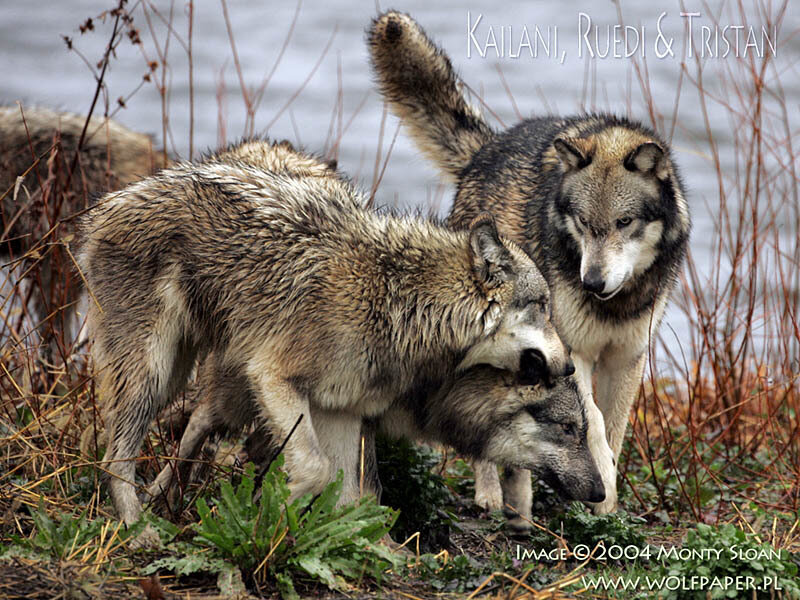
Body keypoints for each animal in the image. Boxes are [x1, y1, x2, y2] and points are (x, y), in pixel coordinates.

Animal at [79, 139, 574, 539]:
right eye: (543, 306)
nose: (569, 366)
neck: (396, 297)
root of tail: (108, 205)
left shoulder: (341, 408)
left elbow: (353, 490)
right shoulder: (272, 376)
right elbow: (316, 470)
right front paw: (273, 505)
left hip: (177, 372)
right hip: (153, 373)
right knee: (118, 454)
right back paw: (137, 529)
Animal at [368, 12, 691, 516]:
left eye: (624, 222)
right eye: (583, 222)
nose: (592, 282)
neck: (615, 303)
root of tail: (485, 150)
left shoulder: (628, 357)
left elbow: (616, 428)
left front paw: (608, 506)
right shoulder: (572, 353)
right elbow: (594, 422)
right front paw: (601, 480)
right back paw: (489, 496)